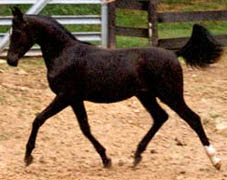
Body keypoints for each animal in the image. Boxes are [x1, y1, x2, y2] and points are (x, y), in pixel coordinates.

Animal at [7, 7, 223, 169]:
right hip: (146, 96)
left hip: (170, 95)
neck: (64, 54)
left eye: (16, 33)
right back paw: (136, 156)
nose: (10, 61)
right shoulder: (75, 99)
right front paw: (106, 159)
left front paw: (28, 157)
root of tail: (174, 54)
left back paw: (215, 160)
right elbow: (85, 128)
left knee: (193, 118)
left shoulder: (65, 96)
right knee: (160, 117)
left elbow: (39, 119)